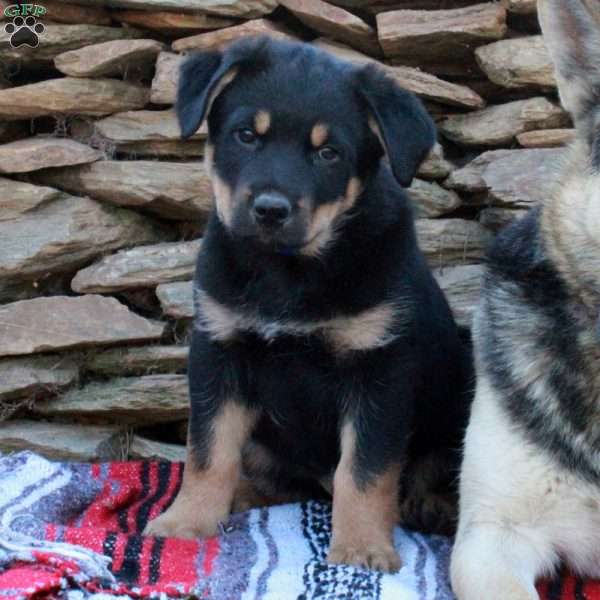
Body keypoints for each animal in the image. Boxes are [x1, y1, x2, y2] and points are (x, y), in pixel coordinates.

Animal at [145, 37, 474, 572]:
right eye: (246, 135)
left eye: (328, 153)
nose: (270, 210)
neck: (288, 272)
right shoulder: (219, 351)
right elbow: (208, 451)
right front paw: (185, 522)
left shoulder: (378, 368)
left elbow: (363, 470)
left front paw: (361, 548)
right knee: (280, 480)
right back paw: (242, 497)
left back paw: (432, 507)